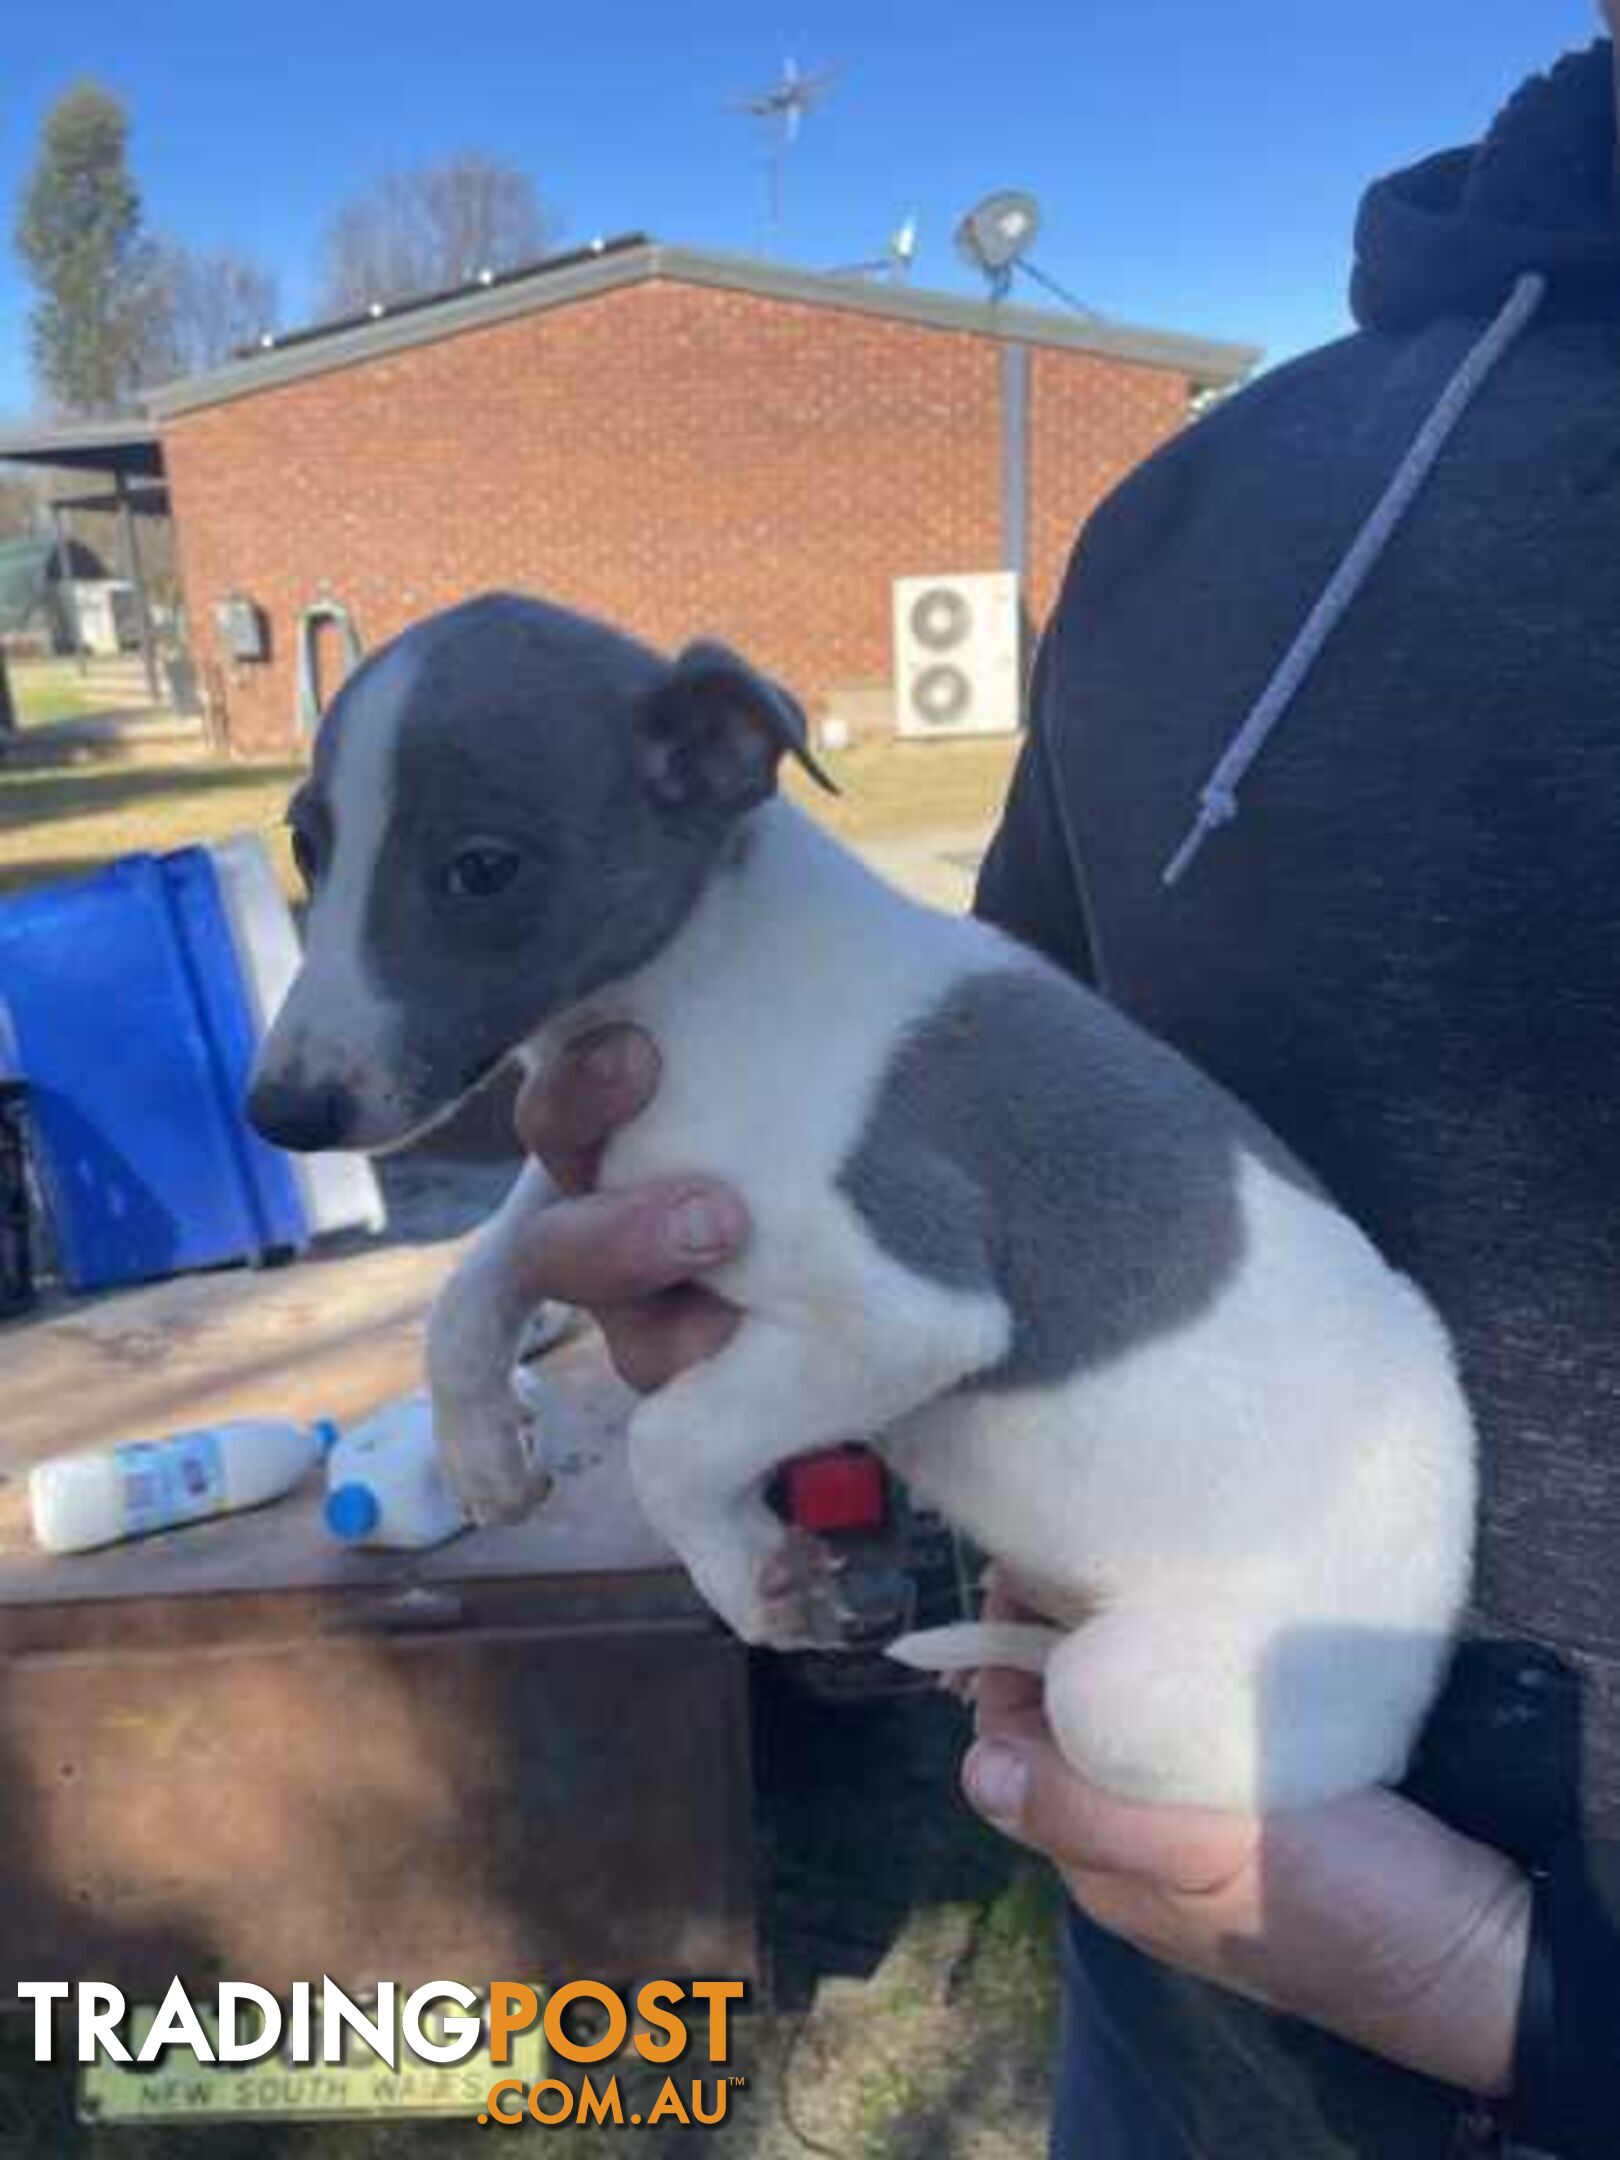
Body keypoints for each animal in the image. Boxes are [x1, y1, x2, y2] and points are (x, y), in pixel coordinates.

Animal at [253, 587, 1486, 1805]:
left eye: (483, 867)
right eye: (306, 842)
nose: (278, 1112)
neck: (702, 975)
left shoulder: (909, 1311)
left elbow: (668, 1433)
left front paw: (749, 1577)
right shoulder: (595, 1166)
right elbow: (474, 1282)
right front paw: (481, 1452)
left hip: (1135, 1696)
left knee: (1073, 1681)